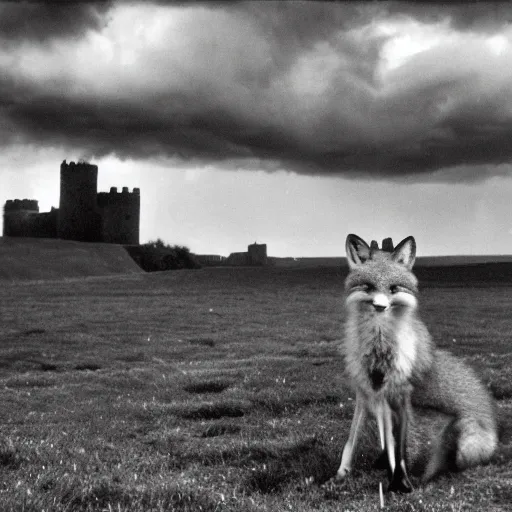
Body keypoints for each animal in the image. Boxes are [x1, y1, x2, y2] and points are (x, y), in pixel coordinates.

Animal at [334, 235, 498, 492]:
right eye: (368, 287)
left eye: (393, 288)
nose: (380, 307)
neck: (379, 350)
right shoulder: (366, 392)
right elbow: (352, 441)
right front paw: (342, 474)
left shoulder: (399, 395)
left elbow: (397, 450)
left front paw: (399, 483)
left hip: (465, 441)